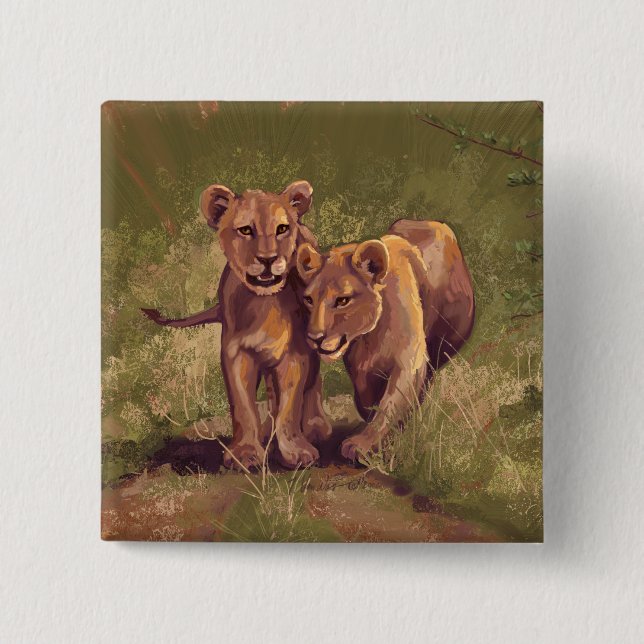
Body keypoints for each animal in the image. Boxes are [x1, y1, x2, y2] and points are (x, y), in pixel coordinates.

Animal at [144, 181, 332, 470]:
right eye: (245, 230)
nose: (268, 259)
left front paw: (296, 450)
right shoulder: (236, 354)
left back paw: (315, 427)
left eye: (282, 229)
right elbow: (243, 407)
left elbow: (291, 405)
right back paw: (268, 433)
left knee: (312, 383)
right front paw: (245, 453)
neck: (265, 303)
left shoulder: (295, 354)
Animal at [296, 218, 474, 461]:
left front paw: (362, 444)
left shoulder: (409, 360)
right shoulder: (360, 365)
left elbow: (390, 403)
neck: (371, 335)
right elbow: (368, 396)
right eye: (309, 300)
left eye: (342, 300)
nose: (315, 338)